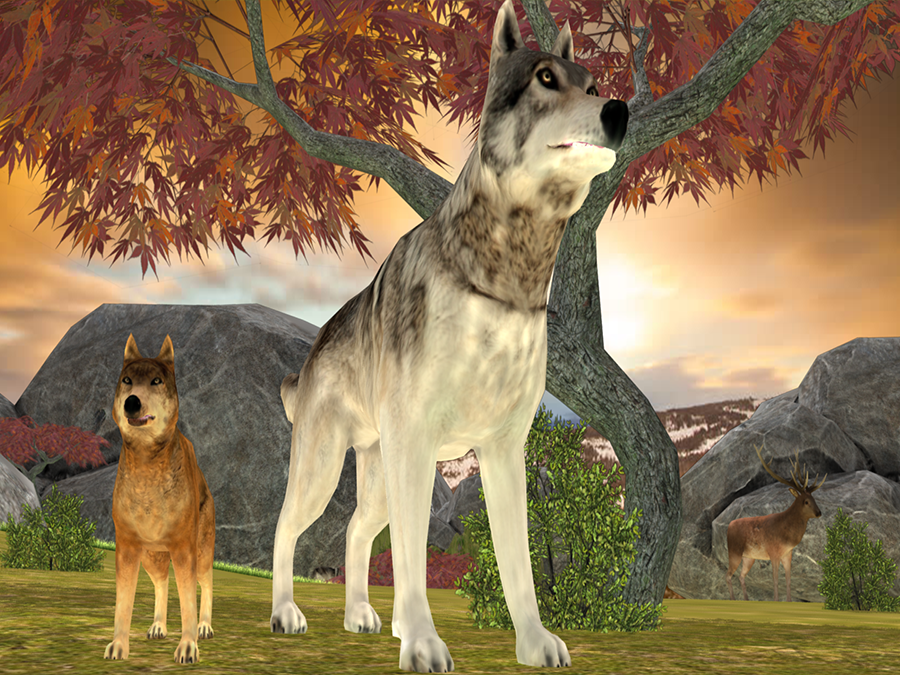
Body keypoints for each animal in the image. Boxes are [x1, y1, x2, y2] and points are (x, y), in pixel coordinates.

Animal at [104, 335, 216, 664]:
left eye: (156, 381)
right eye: (127, 380)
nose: (131, 402)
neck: (147, 468)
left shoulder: (184, 550)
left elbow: (189, 603)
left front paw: (189, 645)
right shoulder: (126, 549)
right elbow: (123, 604)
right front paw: (119, 645)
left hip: (200, 553)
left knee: (207, 583)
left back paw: (205, 626)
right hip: (151, 558)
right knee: (161, 583)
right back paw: (158, 625)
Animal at [270, 0, 628, 671]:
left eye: (592, 86)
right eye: (546, 79)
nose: (619, 111)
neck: (502, 277)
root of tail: (313, 350)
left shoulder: (502, 452)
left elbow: (518, 566)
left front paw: (533, 642)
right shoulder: (418, 444)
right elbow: (414, 560)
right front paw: (422, 642)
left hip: (382, 476)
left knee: (355, 530)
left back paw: (361, 615)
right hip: (330, 468)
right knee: (286, 525)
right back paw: (286, 613)